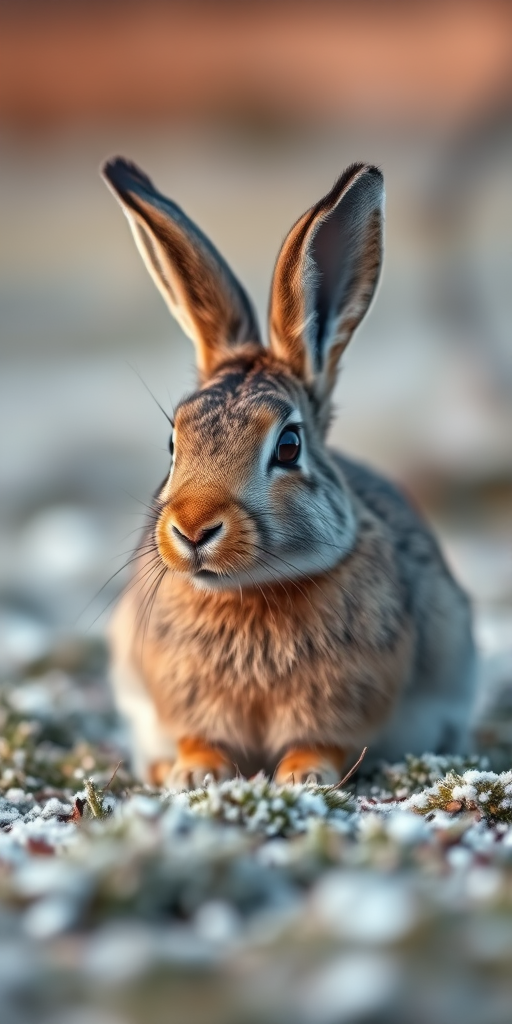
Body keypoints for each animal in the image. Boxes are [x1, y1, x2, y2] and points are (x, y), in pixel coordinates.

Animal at [102, 156, 476, 789]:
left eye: (289, 446)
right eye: (173, 442)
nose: (193, 530)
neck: (250, 591)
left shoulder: (346, 704)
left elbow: (322, 742)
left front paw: (304, 776)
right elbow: (200, 738)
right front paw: (193, 774)